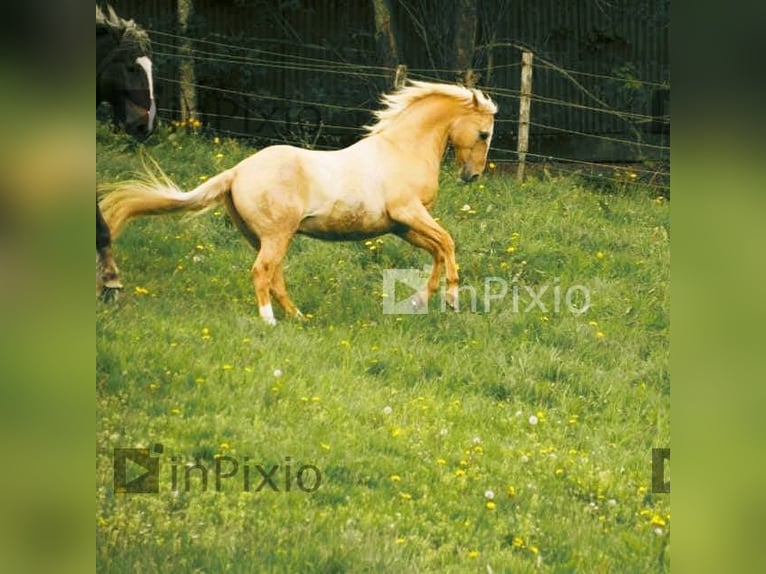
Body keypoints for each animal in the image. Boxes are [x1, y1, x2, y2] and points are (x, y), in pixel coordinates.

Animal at [100, 81, 498, 324]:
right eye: (484, 133)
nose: (472, 176)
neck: (400, 150)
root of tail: (237, 171)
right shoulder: (408, 213)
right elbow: (447, 243)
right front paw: (452, 298)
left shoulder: (401, 225)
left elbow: (438, 251)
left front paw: (422, 301)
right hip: (278, 235)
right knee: (262, 273)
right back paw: (270, 321)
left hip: (263, 237)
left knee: (275, 277)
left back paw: (297, 317)